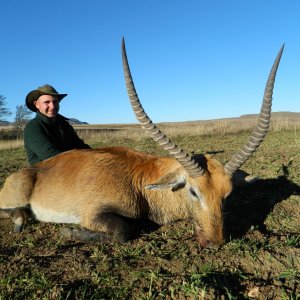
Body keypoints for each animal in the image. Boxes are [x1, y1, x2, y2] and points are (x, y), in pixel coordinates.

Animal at [0, 39, 284, 246]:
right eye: (194, 191)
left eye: (227, 195)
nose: (214, 243)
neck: (139, 178)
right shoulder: (93, 213)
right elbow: (124, 231)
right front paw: (70, 233)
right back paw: (20, 220)